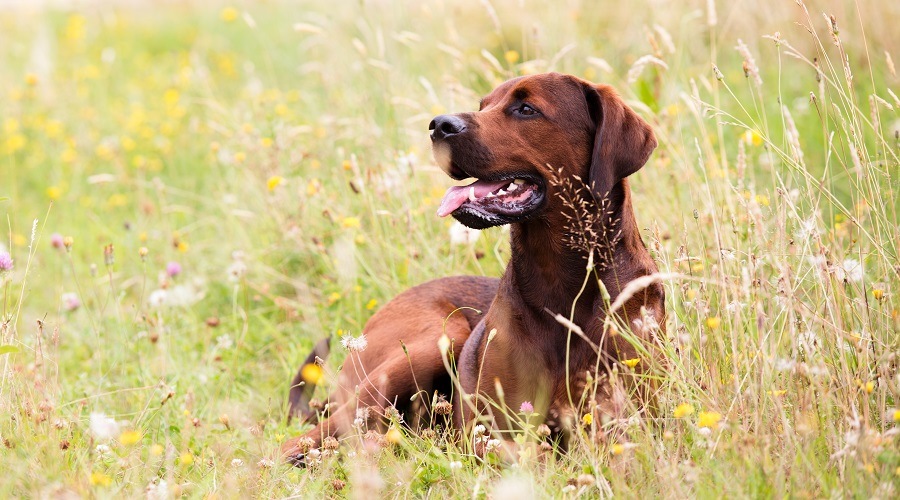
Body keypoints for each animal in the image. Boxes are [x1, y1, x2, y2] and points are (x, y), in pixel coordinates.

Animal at [284, 72, 664, 462]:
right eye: (484, 105)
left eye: (526, 108)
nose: (439, 125)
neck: (561, 284)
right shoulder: (486, 432)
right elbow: (530, 453)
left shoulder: (628, 422)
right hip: (436, 342)